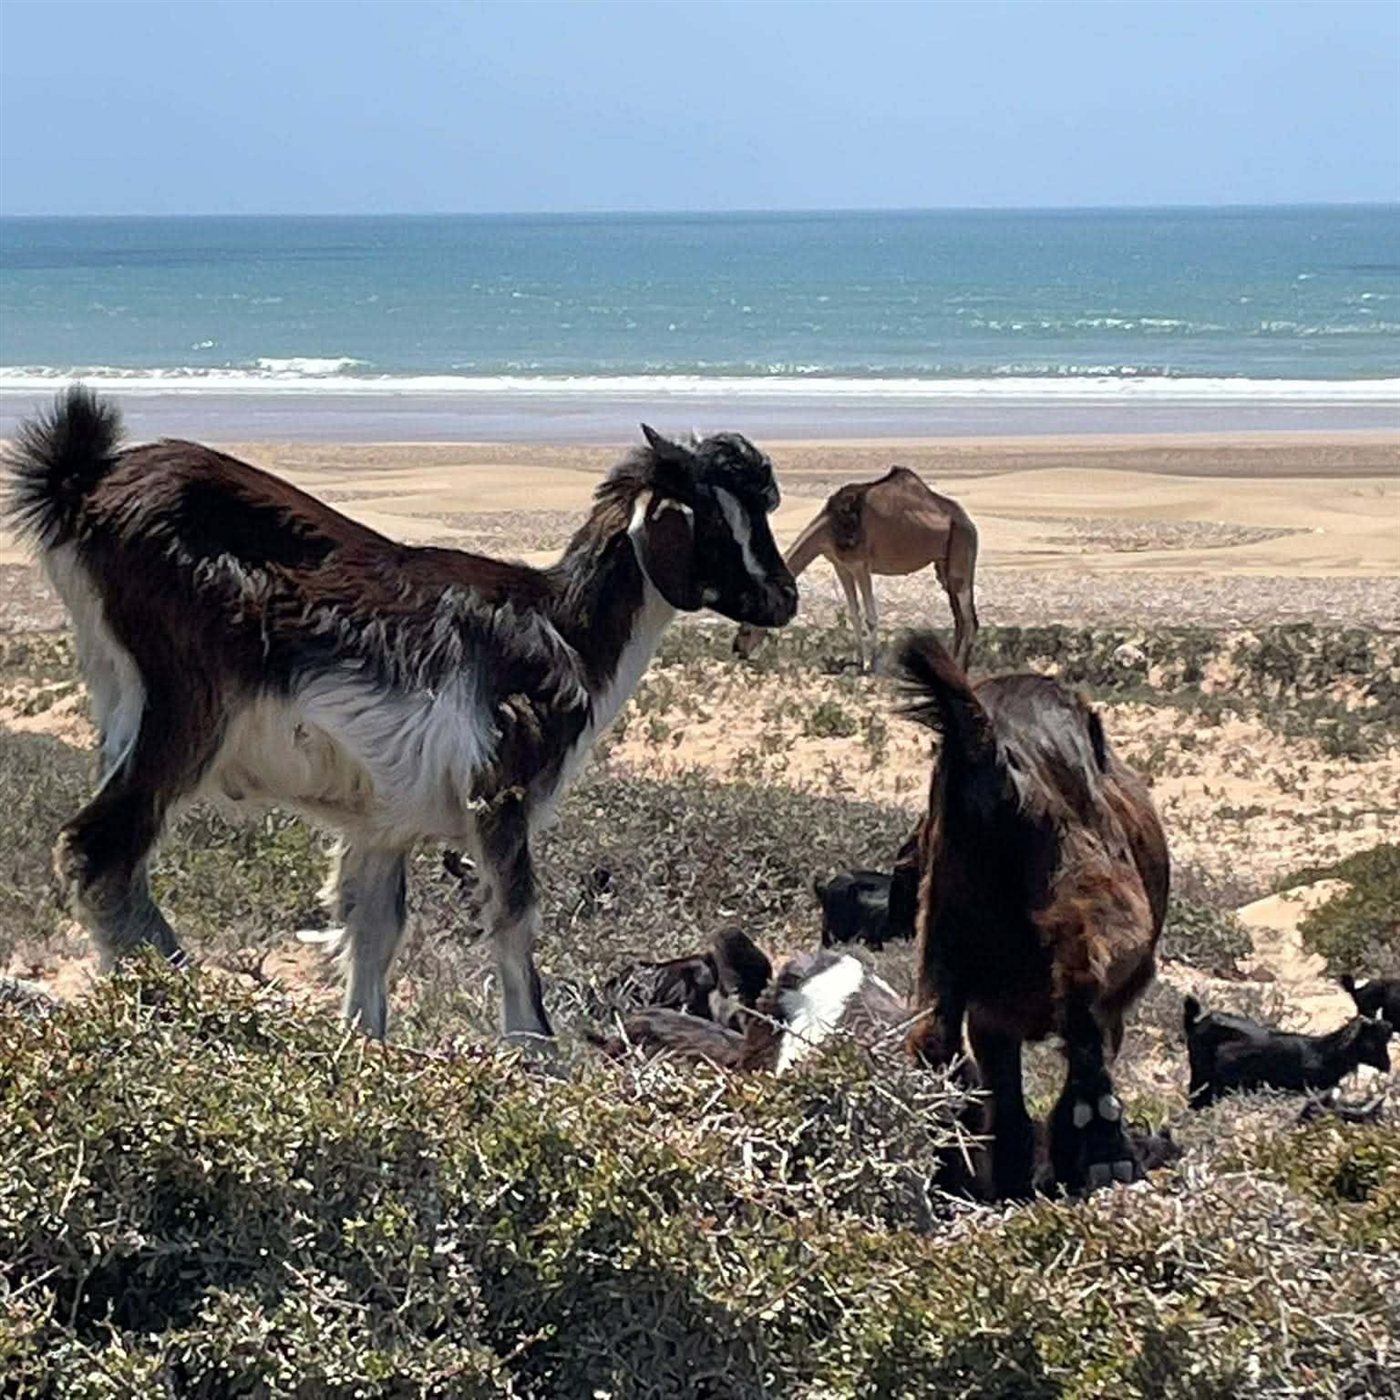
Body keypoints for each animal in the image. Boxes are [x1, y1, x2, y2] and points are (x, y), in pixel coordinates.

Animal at [732, 466, 979, 671]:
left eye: (746, 628)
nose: (738, 650)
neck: (828, 528)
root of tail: (968, 522)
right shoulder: (841, 566)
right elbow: (854, 615)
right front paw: (859, 661)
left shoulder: (861, 565)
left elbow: (871, 616)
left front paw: (872, 666)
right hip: (943, 566)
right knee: (958, 617)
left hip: (961, 551)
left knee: (969, 619)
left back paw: (961, 670)